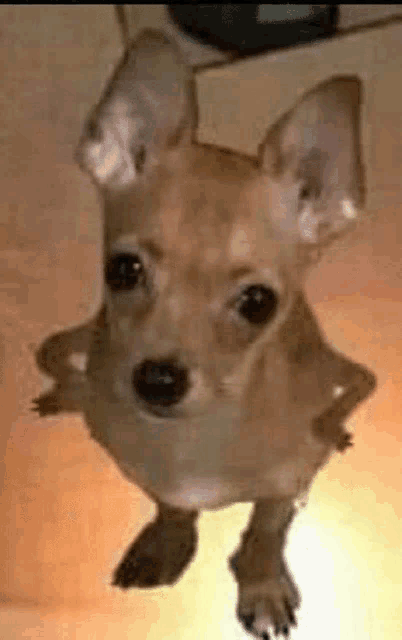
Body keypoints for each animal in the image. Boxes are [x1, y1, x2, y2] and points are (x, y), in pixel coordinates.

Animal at [33, 30, 376, 640]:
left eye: (259, 303)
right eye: (122, 271)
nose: (158, 380)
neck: (193, 439)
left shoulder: (280, 485)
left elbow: (266, 531)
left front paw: (261, 583)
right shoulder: (144, 470)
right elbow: (172, 506)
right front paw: (169, 541)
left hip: (334, 379)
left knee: (351, 394)